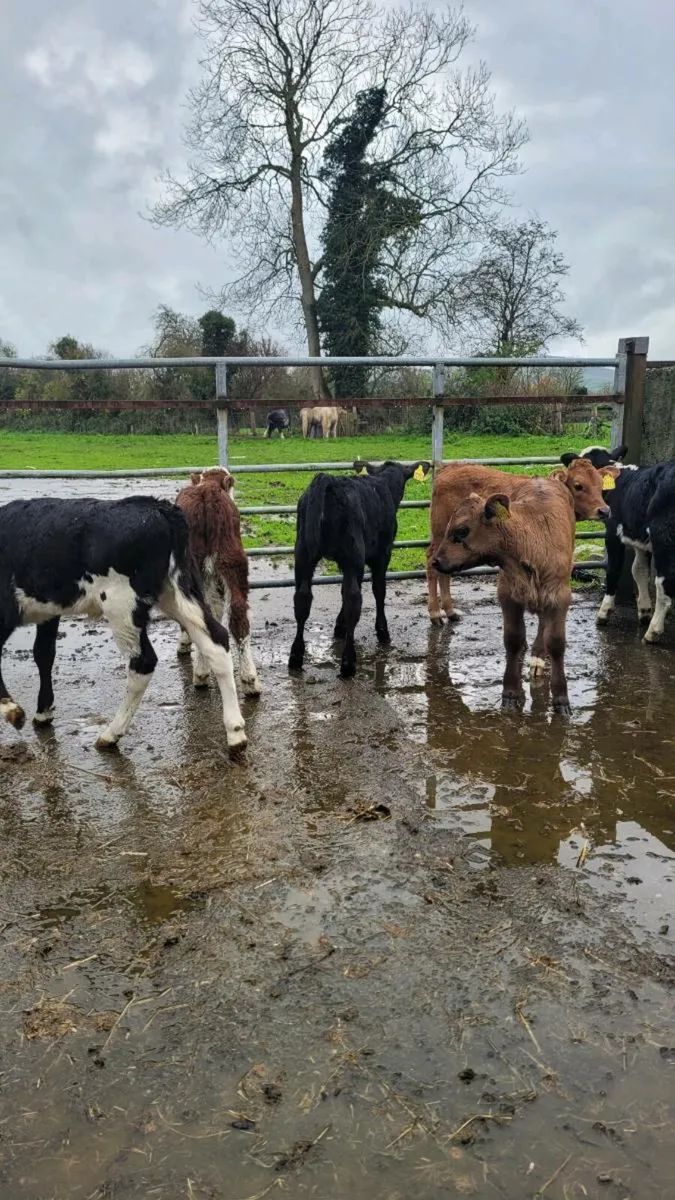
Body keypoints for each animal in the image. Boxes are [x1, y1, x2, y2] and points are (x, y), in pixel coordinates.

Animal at [0, 496, 247, 752]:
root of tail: (159, 507)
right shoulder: (49, 612)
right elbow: (43, 654)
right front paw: (43, 712)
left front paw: (13, 711)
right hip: (179, 592)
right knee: (216, 640)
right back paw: (235, 731)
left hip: (122, 606)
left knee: (144, 661)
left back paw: (111, 733)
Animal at [289, 459, 430, 678]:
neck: (383, 484)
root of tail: (330, 481)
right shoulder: (381, 554)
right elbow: (379, 590)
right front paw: (382, 631)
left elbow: (341, 590)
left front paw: (339, 627)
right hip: (352, 556)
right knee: (353, 600)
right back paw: (348, 662)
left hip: (304, 554)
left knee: (302, 599)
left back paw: (296, 656)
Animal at [427, 458, 611, 627]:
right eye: (578, 485)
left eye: (601, 485)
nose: (604, 510)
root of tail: (449, 468)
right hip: (440, 535)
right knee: (431, 563)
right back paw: (435, 613)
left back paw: (450, 612)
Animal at [431, 477, 576, 715]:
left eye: (461, 531)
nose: (436, 561)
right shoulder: (508, 596)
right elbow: (513, 640)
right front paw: (510, 692)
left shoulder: (559, 597)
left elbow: (556, 644)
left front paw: (561, 698)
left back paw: (538, 656)